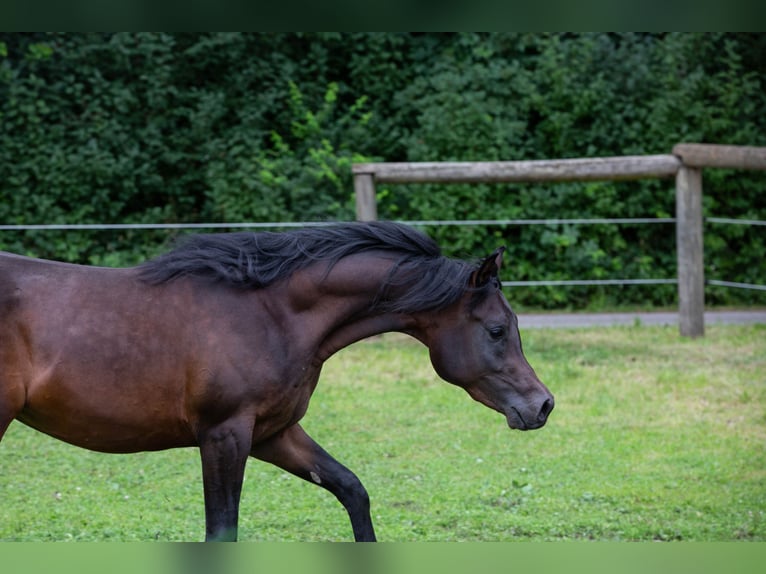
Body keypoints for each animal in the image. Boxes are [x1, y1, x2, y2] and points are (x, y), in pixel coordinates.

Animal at [0, 223, 552, 544]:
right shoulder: (224, 435)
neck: (271, 314)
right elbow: (222, 532)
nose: (542, 405)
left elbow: (352, 490)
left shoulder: (273, 433)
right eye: (497, 330)